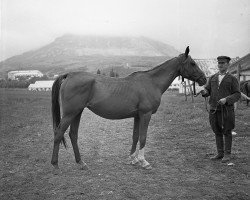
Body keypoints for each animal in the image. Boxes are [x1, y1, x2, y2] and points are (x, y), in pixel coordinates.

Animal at [51, 46, 207, 174]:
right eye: (193, 63)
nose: (204, 79)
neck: (151, 82)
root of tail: (69, 75)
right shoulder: (145, 114)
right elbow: (143, 137)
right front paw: (144, 162)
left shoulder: (137, 116)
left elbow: (135, 136)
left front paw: (133, 159)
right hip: (70, 114)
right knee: (59, 133)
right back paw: (55, 165)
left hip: (77, 112)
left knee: (73, 134)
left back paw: (81, 163)